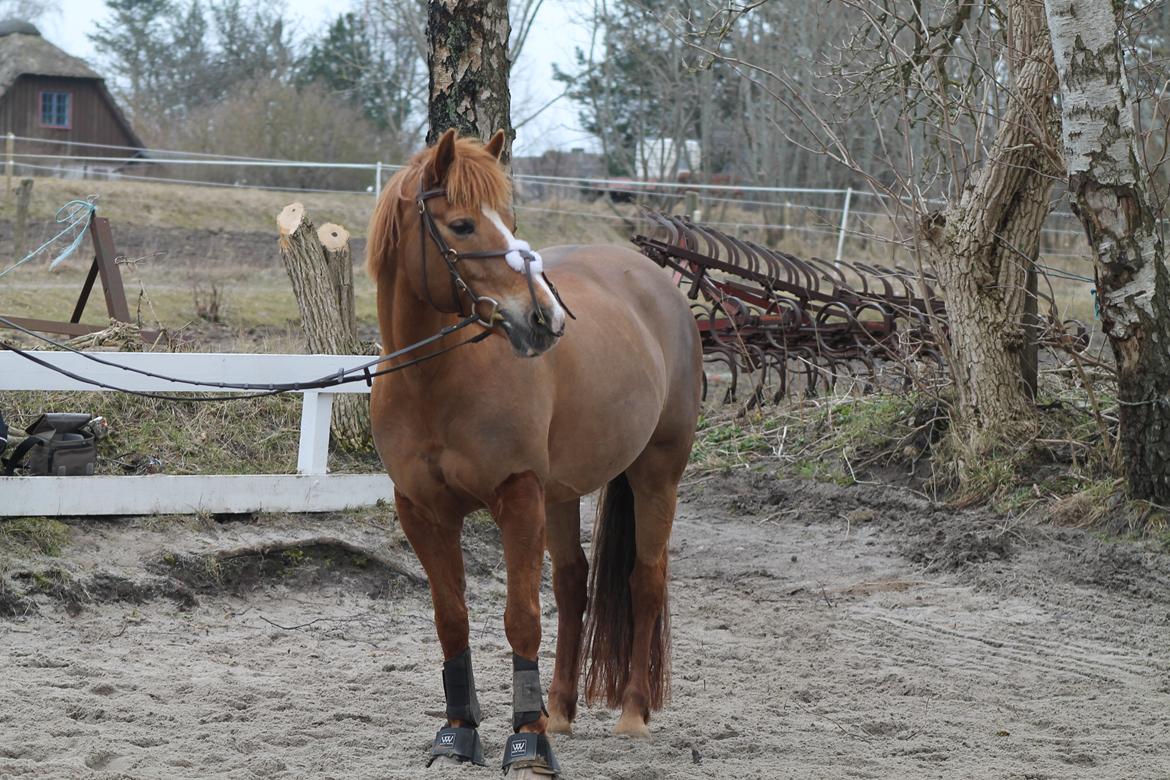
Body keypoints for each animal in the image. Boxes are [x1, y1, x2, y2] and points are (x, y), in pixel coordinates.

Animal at [365, 129, 697, 776]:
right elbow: (452, 620)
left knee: (645, 580)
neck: (434, 381)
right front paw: (459, 733)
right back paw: (562, 711)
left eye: (509, 220)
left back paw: (632, 715)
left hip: (656, 474)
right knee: (572, 584)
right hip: (561, 495)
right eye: (463, 224)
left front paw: (528, 741)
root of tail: (653, 280)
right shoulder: (422, 511)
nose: (544, 318)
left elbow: (521, 620)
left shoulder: (516, 496)